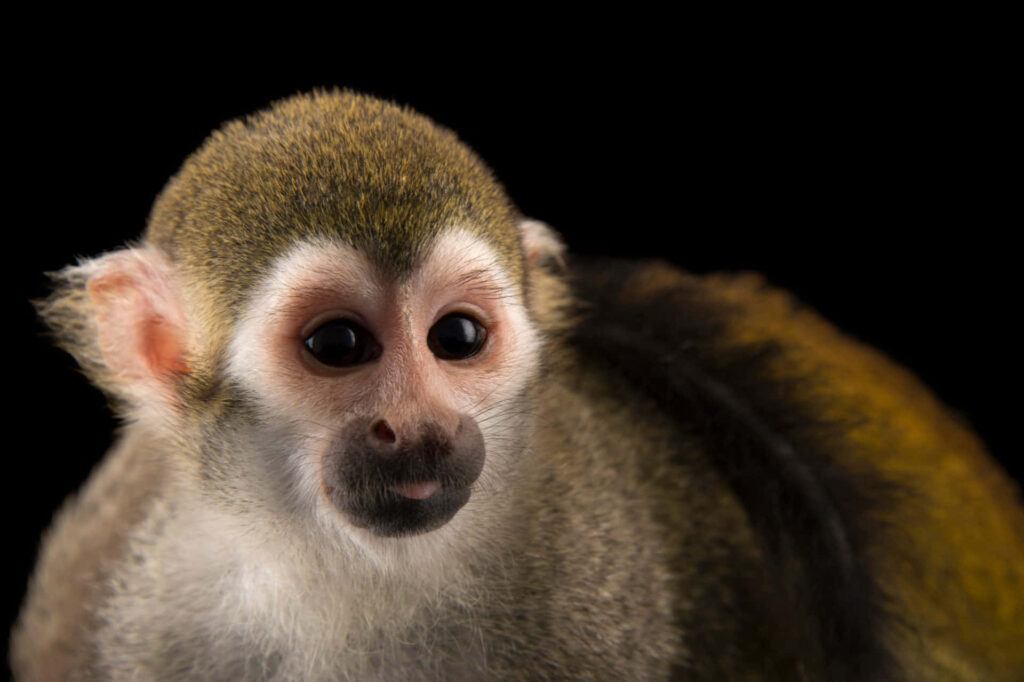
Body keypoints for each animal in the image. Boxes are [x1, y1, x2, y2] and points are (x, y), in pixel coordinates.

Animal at [10, 89, 1024, 681]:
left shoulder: (599, 585)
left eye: (457, 338)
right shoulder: (135, 590)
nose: (415, 422)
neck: (347, 579)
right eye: (337, 344)